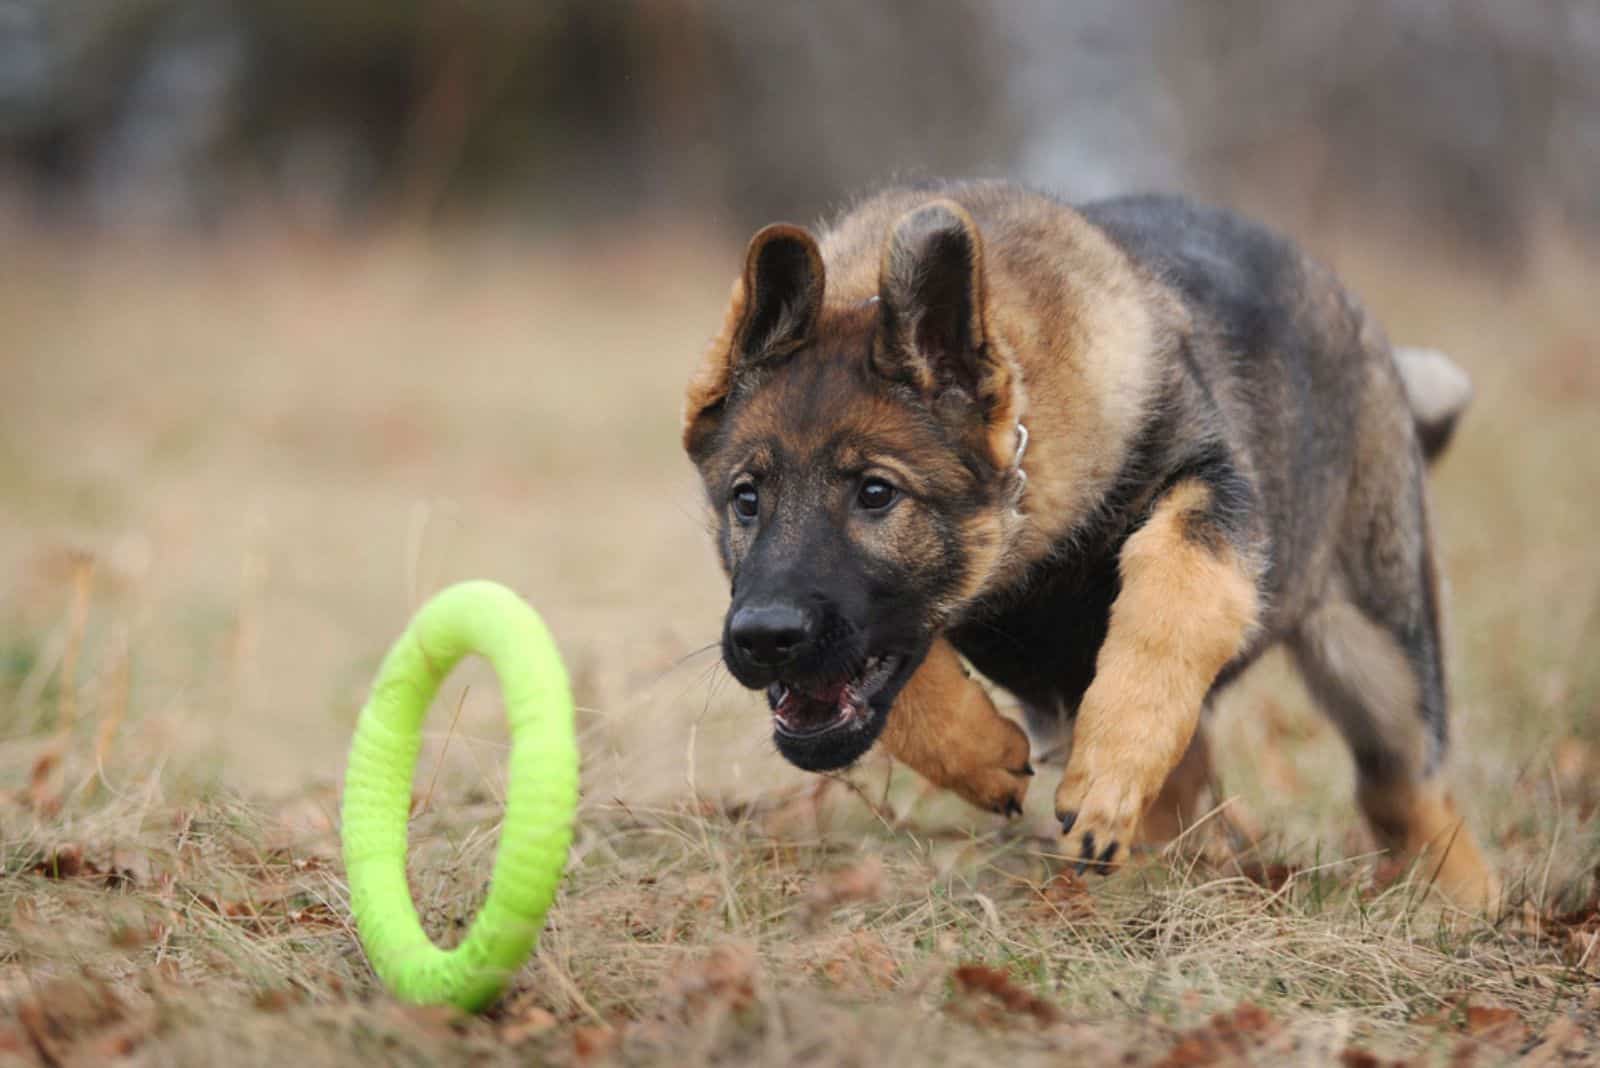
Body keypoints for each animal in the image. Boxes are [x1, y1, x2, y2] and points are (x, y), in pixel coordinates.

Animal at [681, 179, 1491, 908]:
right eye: (746, 499)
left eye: (876, 494)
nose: (764, 638)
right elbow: (911, 670)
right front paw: (980, 756)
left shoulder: (1213, 496)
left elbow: (1171, 600)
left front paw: (1109, 771)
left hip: (1382, 656)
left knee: (1404, 789)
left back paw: (1459, 901)